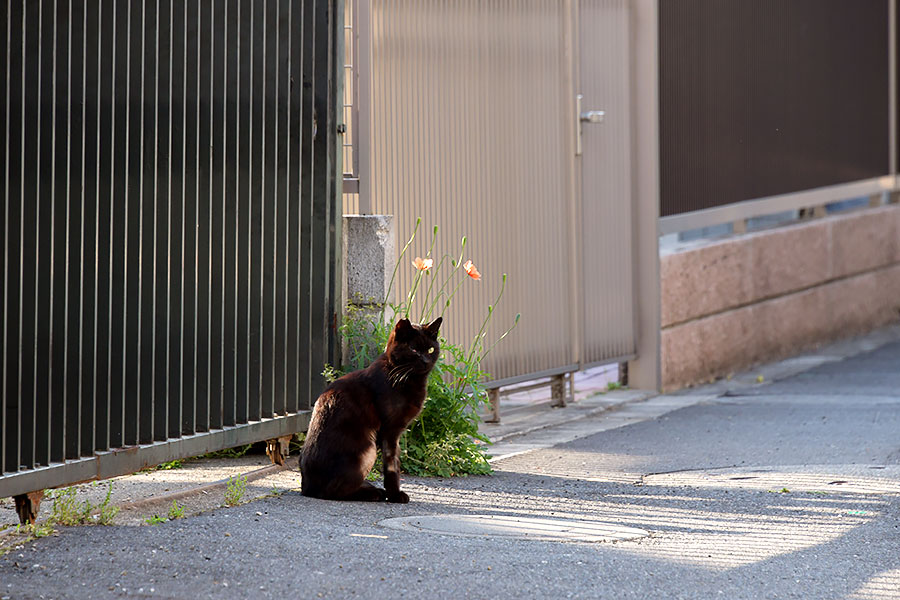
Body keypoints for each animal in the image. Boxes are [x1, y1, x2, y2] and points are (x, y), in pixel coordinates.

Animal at [302, 318, 442, 502]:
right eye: (414, 349)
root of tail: (306, 488)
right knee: (331, 491)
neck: (403, 377)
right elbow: (392, 465)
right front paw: (395, 495)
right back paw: (372, 493)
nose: (426, 360)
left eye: (431, 349)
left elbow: (395, 462)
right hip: (367, 450)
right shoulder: (390, 431)